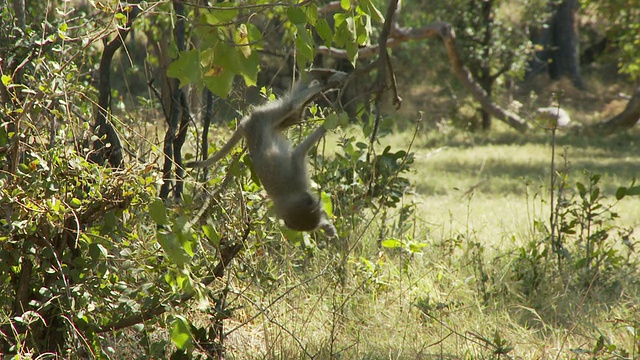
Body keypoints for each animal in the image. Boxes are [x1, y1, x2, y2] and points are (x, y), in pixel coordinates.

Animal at [188, 70, 348, 239]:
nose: (321, 222)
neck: (292, 196)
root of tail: (246, 124)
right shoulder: (297, 179)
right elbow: (298, 153)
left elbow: (298, 152)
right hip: (263, 119)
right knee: (293, 108)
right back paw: (321, 83)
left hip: (262, 119)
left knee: (293, 109)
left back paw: (324, 80)